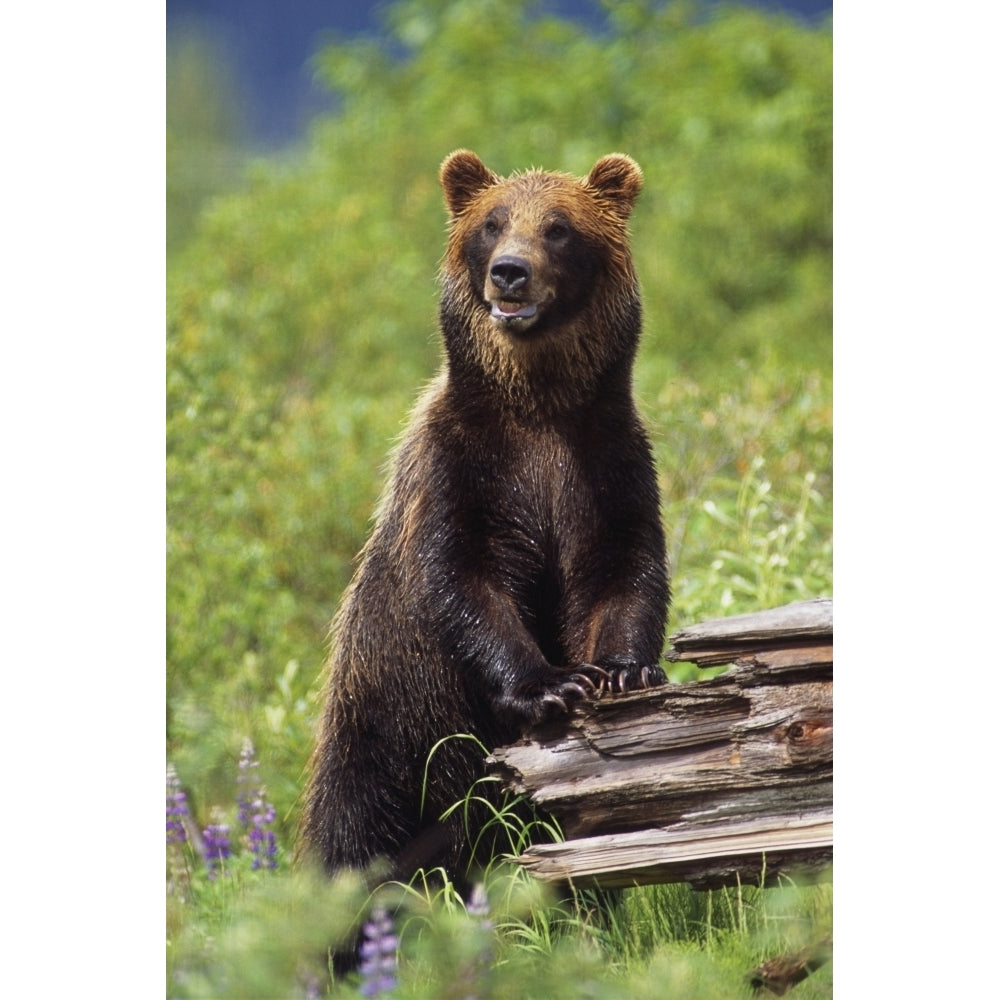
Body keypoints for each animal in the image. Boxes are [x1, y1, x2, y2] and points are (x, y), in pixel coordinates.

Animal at [298, 148, 672, 884]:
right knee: (359, 830)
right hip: (385, 723)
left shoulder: (605, 464)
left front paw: (626, 669)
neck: (539, 408)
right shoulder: (464, 469)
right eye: (492, 223)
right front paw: (554, 684)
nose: (510, 271)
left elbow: (625, 569)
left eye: (559, 227)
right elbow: (464, 577)